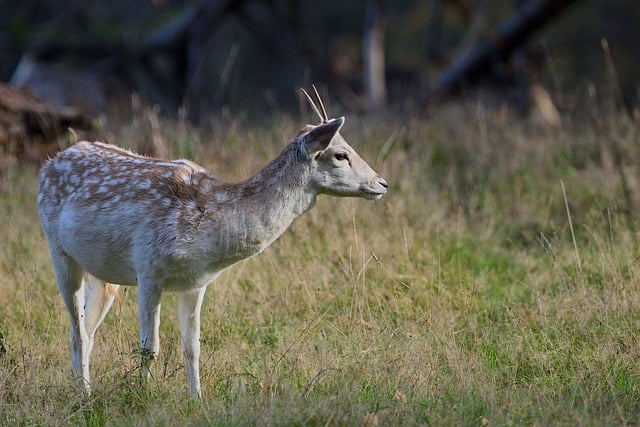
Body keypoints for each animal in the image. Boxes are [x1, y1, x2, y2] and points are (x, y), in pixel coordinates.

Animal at [37, 88, 388, 398]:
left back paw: (86, 387)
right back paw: (83, 393)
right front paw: (141, 396)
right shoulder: (148, 269)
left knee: (89, 327)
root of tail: (49, 163)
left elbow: (192, 346)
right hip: (58, 252)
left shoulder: (195, 283)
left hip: (102, 274)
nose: (382, 183)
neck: (205, 231)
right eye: (340, 154)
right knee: (77, 332)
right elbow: (149, 347)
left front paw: (196, 399)